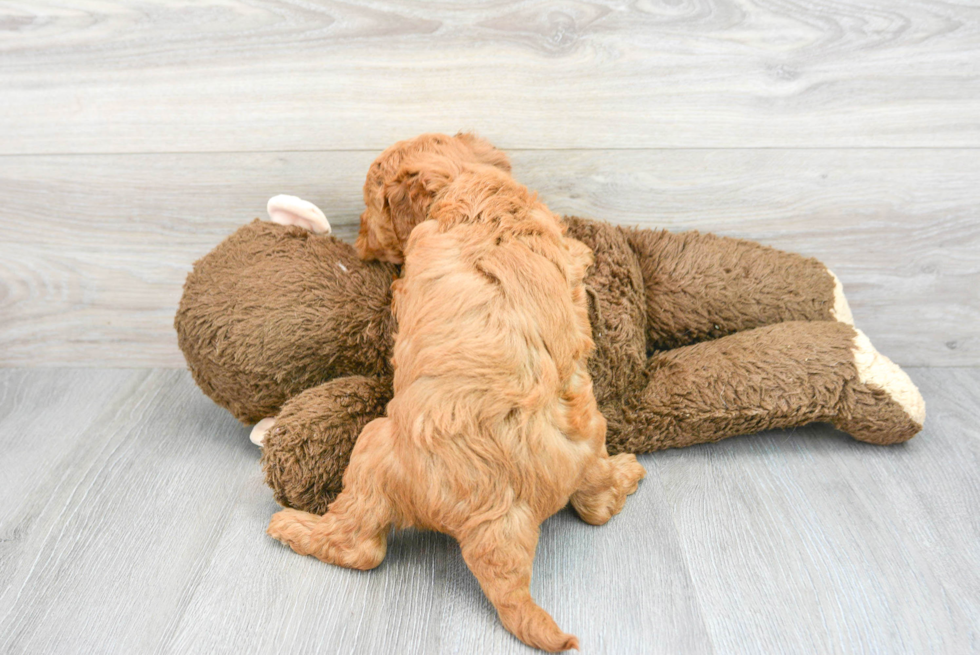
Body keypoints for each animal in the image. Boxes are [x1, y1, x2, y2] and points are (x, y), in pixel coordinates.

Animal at [266, 133, 644, 652]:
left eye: (371, 207)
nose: (358, 241)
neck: (468, 181)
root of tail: (499, 518)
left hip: (373, 448)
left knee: (361, 546)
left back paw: (295, 528)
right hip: (589, 439)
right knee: (595, 506)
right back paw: (626, 475)